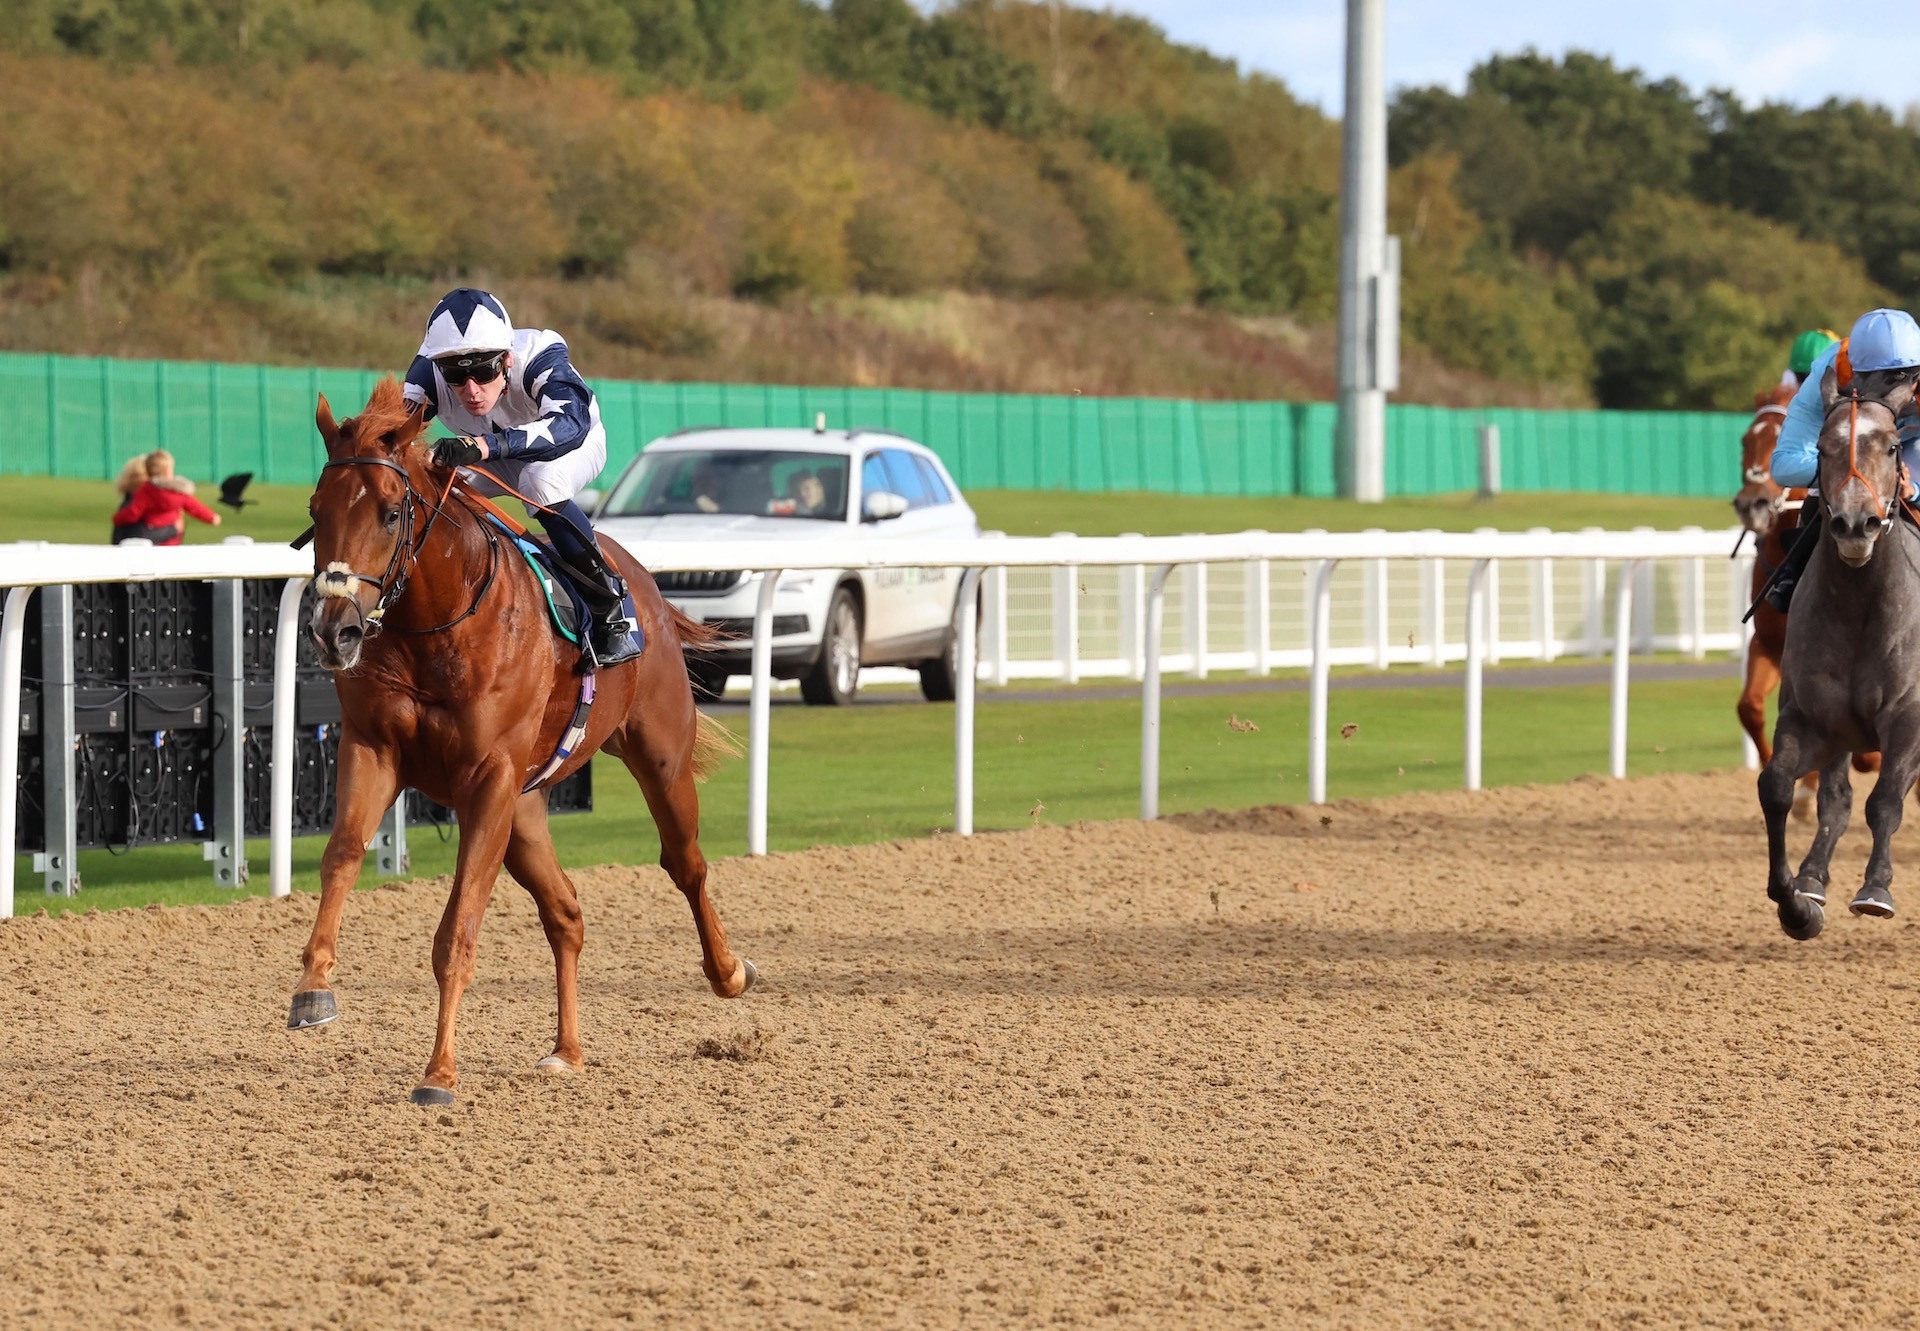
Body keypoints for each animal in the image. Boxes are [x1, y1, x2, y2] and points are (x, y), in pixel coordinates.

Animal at [295, 374, 752, 1098]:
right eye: (318, 507)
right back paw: (567, 1048)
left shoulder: (488, 779)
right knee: (566, 911)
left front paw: (439, 1070)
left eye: (391, 513)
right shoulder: (374, 747)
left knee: (687, 864)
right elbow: (341, 854)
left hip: (658, 758)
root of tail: (644, 582)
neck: (438, 625)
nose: (332, 629)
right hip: (526, 809)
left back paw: (728, 971)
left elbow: (458, 928)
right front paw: (312, 988)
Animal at [1743, 374, 1873, 814]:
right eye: (1745, 441)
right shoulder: (1768, 644)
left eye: (1780, 437)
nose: (1752, 504)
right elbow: (1750, 708)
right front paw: (1796, 790)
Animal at [1758, 353, 1920, 933]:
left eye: (1892, 446)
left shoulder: (1909, 717)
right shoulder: (1812, 717)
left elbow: (1886, 801)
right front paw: (1797, 902)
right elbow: (1780, 788)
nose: (1855, 524)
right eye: (1824, 448)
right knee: (1835, 795)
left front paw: (1876, 888)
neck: (1860, 609)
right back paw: (1812, 876)